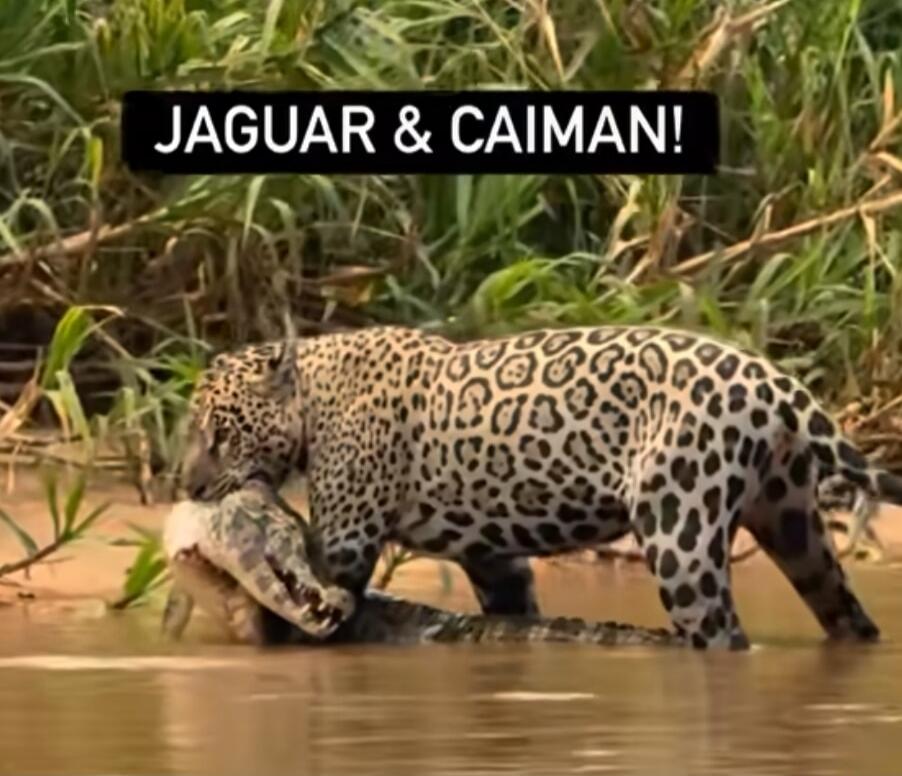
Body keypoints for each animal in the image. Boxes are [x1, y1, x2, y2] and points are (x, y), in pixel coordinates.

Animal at [180, 324, 902, 650]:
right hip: (793, 523)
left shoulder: (347, 542)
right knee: (845, 611)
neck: (312, 396)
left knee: (720, 631)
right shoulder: (492, 558)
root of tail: (773, 380)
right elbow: (512, 602)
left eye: (218, 431)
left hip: (683, 537)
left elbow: (321, 598)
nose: (185, 485)